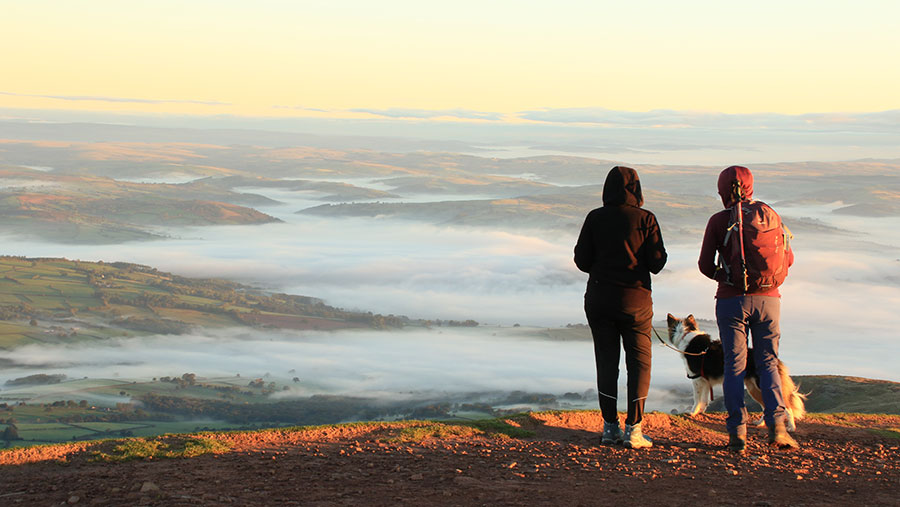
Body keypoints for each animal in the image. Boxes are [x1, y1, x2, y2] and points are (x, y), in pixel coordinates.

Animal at [664, 314, 804, 432]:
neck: (686, 333)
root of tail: (776, 360)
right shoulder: (705, 381)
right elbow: (704, 400)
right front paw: (701, 411)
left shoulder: (696, 379)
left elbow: (697, 399)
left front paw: (692, 412)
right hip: (753, 388)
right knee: (766, 407)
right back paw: (760, 423)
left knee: (787, 408)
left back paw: (791, 427)